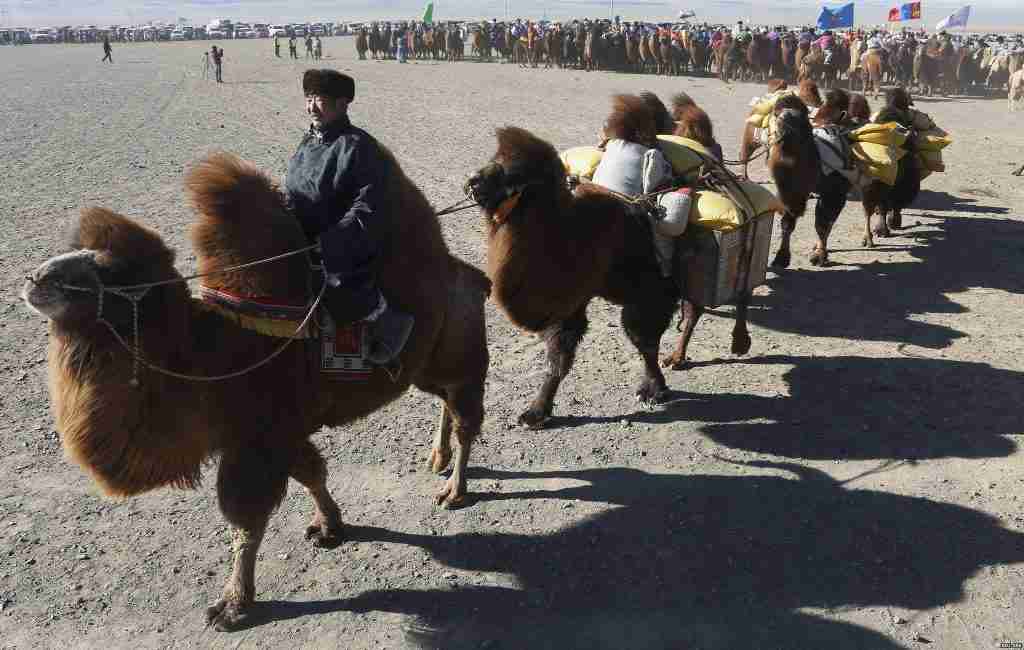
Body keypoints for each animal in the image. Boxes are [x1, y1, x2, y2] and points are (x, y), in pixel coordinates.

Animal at [20, 151, 491, 630]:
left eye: (109, 271)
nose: (36, 278)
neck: (203, 355)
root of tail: (471, 275)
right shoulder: (281, 432)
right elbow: (311, 474)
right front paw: (329, 527)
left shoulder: (257, 439)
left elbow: (245, 522)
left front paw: (232, 606)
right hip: (426, 366)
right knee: (444, 403)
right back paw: (437, 458)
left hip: (461, 355)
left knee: (466, 416)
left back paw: (454, 490)